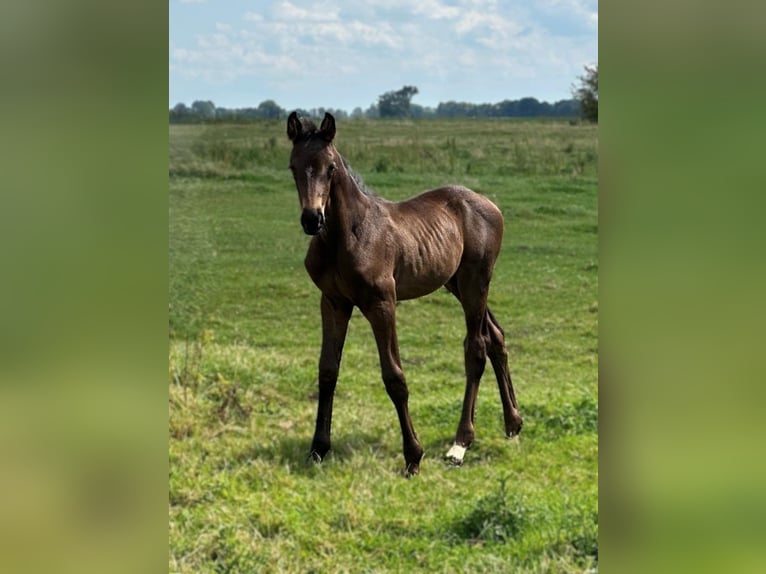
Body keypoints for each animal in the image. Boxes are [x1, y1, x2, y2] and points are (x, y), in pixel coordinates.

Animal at [284, 112, 524, 476]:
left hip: (475, 281)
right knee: (495, 336)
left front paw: (413, 456)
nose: (313, 219)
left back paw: (460, 443)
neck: (347, 235)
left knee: (476, 348)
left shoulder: (382, 304)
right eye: (293, 166)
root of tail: (490, 205)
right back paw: (513, 423)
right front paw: (318, 448)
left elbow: (394, 376)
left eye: (331, 167)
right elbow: (327, 371)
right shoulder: (334, 302)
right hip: (456, 283)